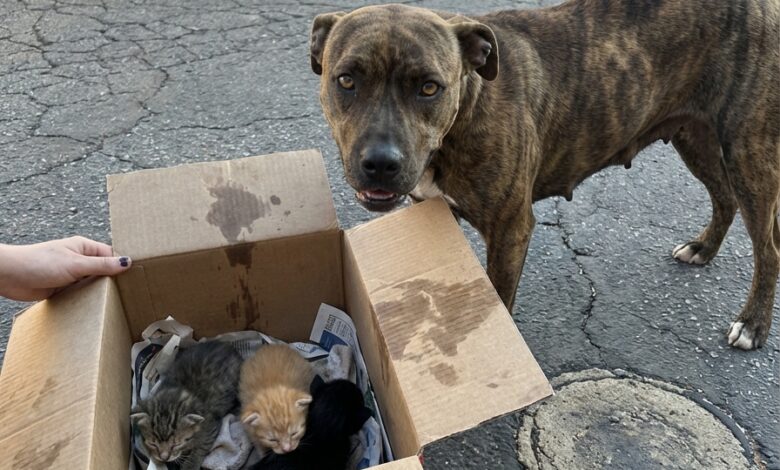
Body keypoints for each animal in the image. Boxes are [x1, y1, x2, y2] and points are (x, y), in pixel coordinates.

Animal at [131, 340, 242, 470]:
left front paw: (190, 464)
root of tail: (227, 345)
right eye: (153, 443)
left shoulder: (210, 425)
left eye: (176, 444)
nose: (164, 458)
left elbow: (201, 446)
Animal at [309, 0, 780, 349]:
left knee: (768, 248)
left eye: (429, 87)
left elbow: (499, 299)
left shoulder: (510, 229)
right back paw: (704, 247)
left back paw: (753, 325)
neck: (468, 106)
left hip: (749, 153)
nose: (380, 163)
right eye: (346, 80)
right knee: (724, 198)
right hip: (695, 139)